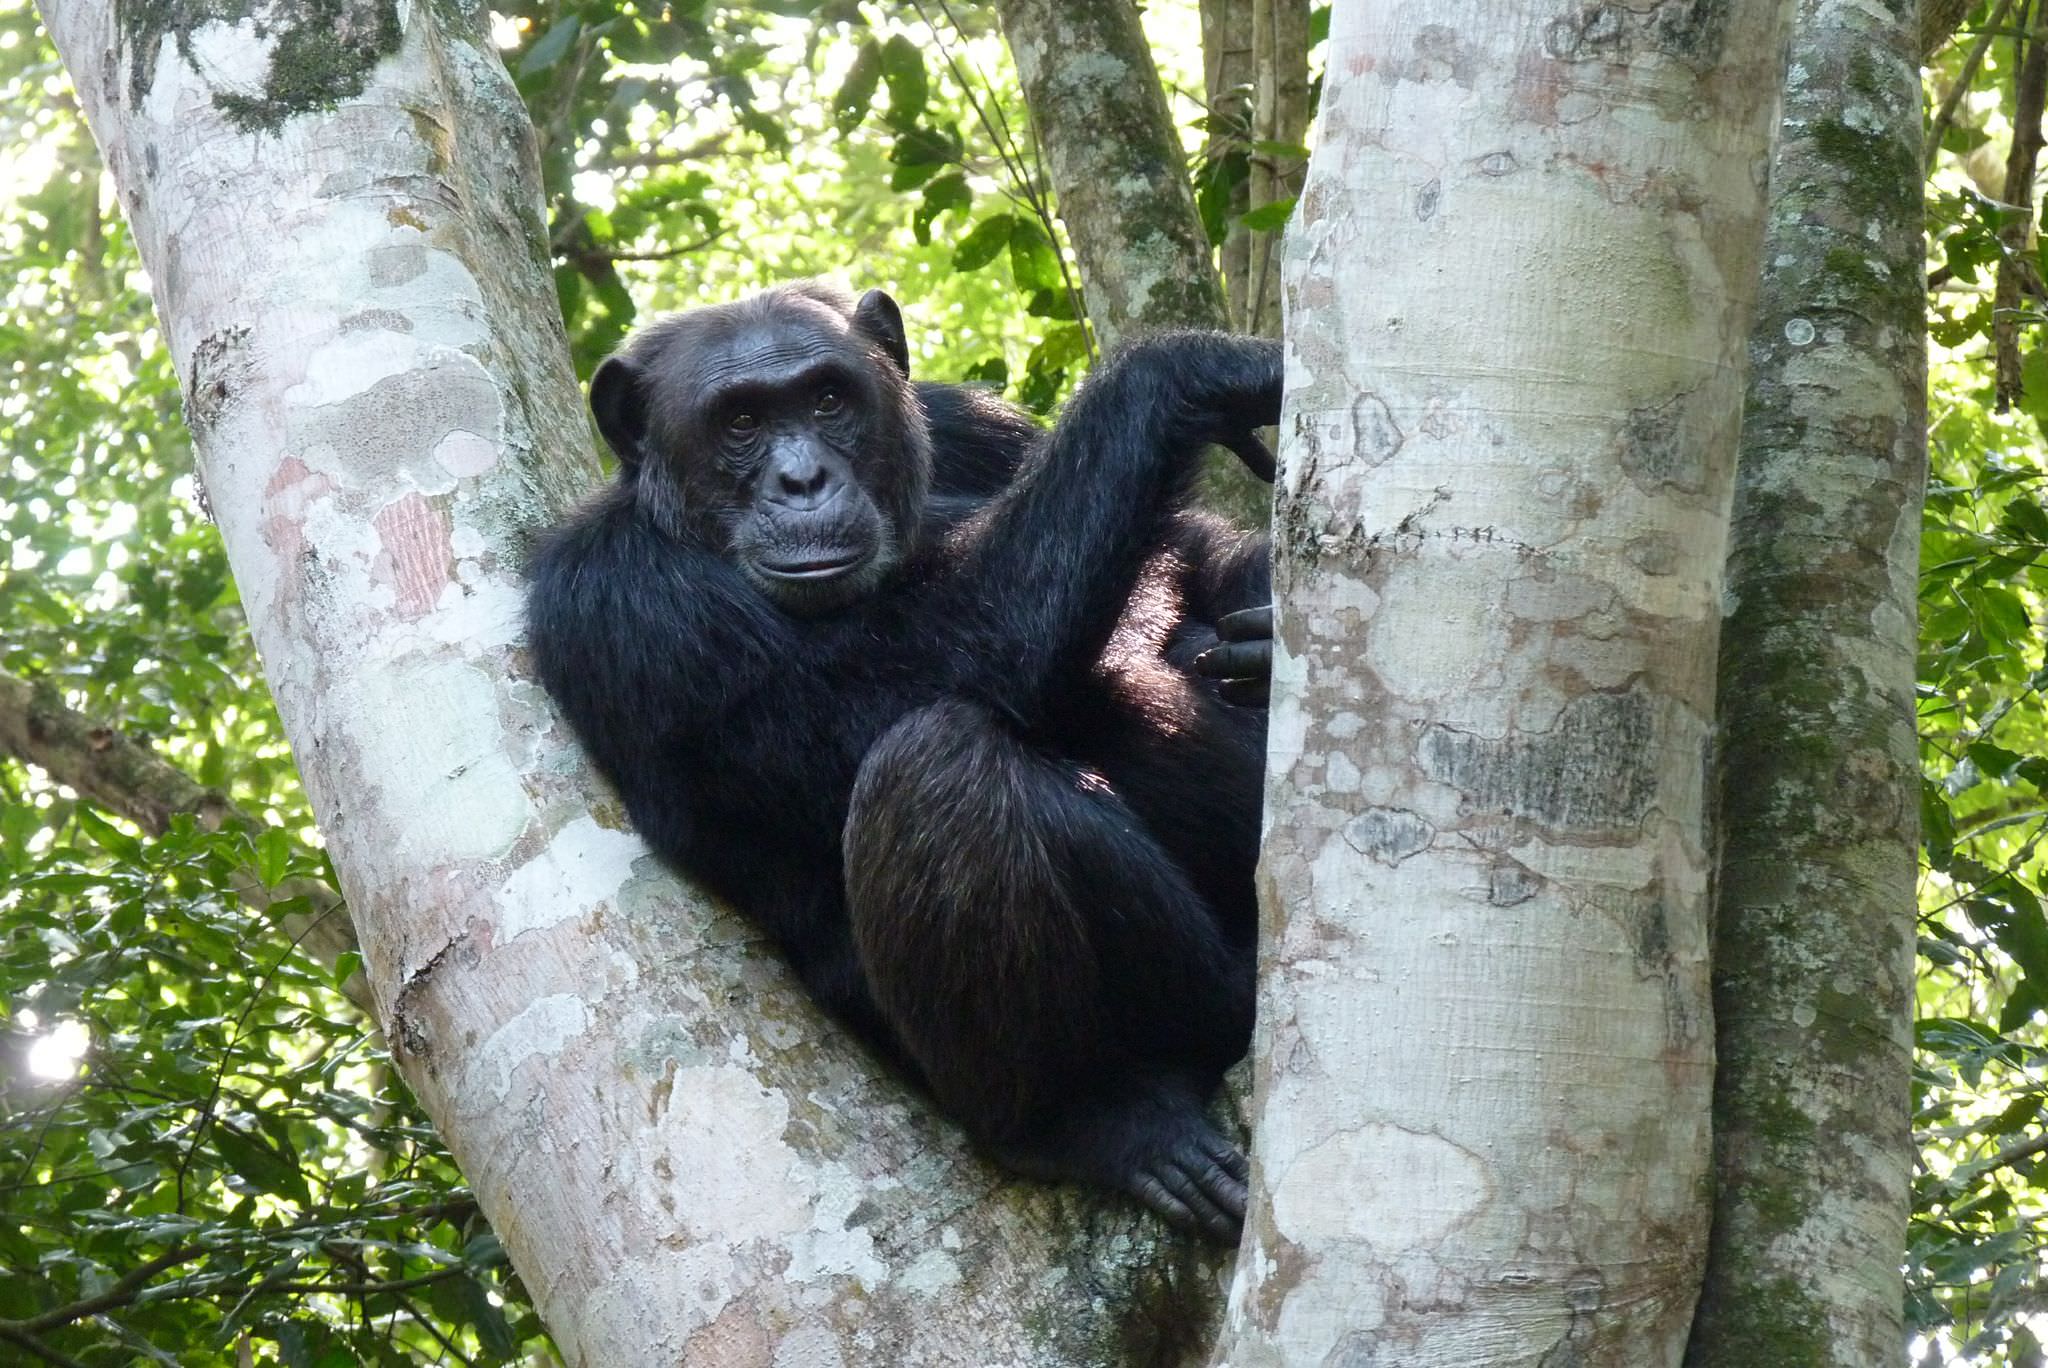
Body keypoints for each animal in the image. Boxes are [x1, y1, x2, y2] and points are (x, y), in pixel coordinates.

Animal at [520, 280, 1269, 1236]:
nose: (802, 480)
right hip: (1198, 999)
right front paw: (1193, 369)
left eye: (827, 401)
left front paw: (1261, 622)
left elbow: (1196, 557)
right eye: (740, 422)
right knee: (934, 767)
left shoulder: (970, 423)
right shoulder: (625, 604)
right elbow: (938, 667)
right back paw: (1098, 1116)